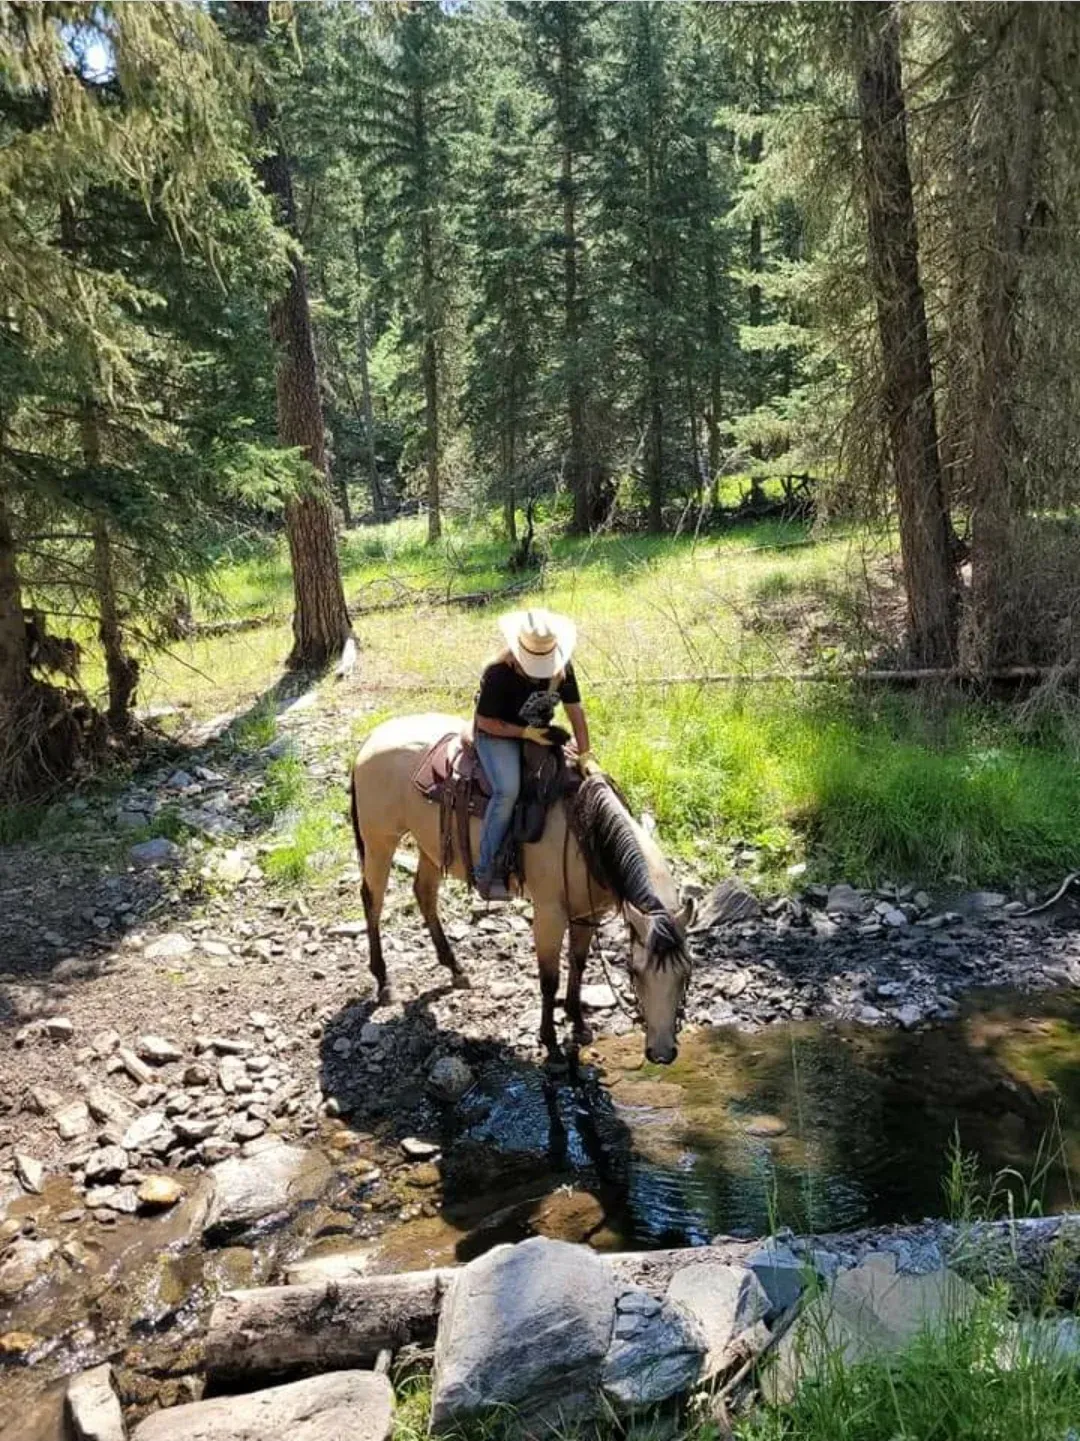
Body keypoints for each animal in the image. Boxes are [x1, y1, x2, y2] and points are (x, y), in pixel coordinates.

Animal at [348, 713, 694, 1065]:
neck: (586, 832)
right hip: (380, 841)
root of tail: (373, 738)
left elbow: (579, 964)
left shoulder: (588, 912)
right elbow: (549, 979)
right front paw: (550, 1040)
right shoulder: (549, 914)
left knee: (424, 893)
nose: (662, 1054)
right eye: (635, 972)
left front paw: (578, 1022)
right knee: (373, 900)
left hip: (429, 844)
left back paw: (455, 968)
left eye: (686, 973)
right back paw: (384, 981)